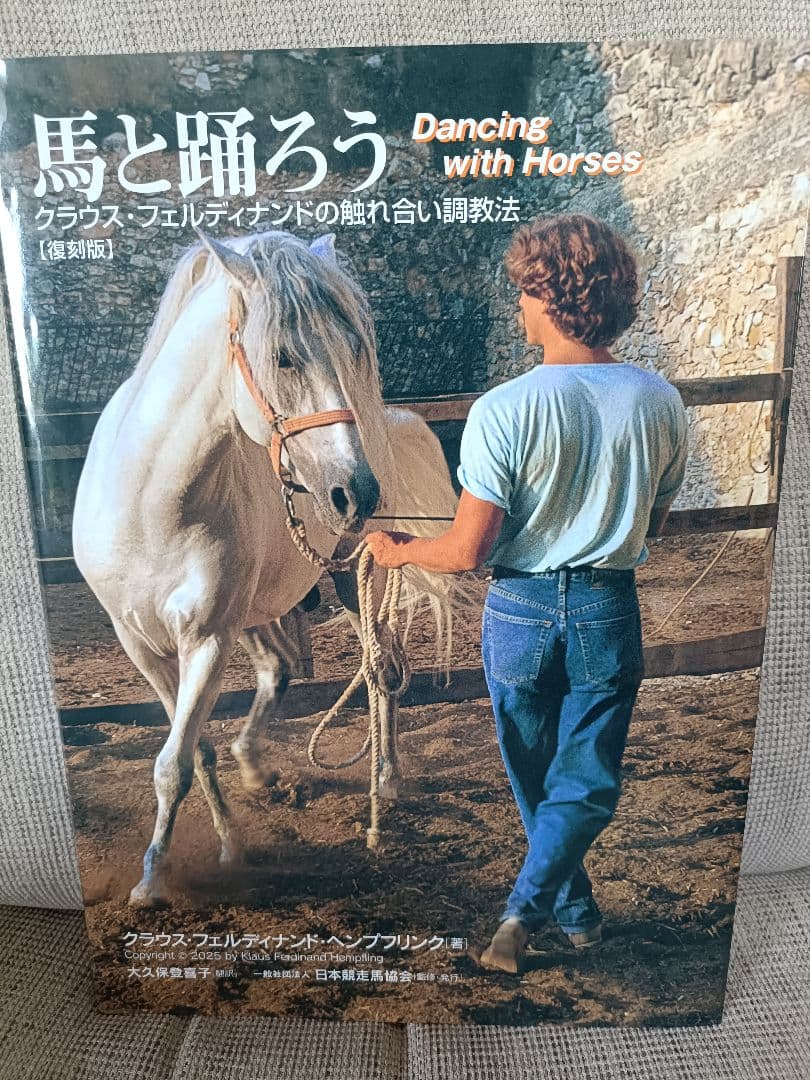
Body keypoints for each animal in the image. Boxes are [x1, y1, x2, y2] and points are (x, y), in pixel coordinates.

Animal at [72, 228, 467, 907]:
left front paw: (152, 880)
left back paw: (386, 780)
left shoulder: (207, 640)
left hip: (352, 579)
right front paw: (226, 846)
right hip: (257, 611)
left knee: (381, 666)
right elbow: (195, 750)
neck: (151, 503)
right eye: (283, 357)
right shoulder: (141, 645)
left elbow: (173, 764)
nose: (355, 492)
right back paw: (258, 768)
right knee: (280, 672)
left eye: (354, 350)